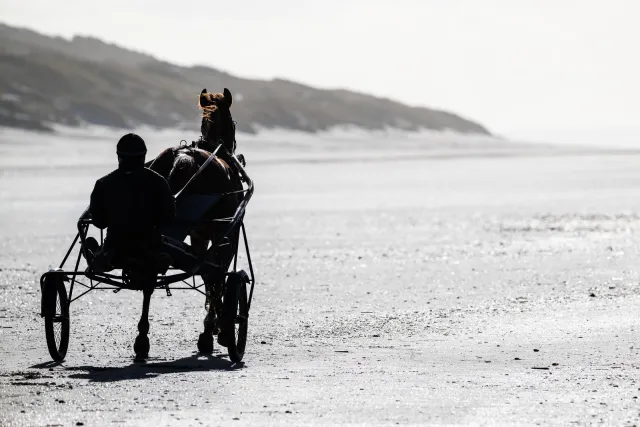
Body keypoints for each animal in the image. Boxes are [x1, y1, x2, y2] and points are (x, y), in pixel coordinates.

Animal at [134, 87, 244, 358]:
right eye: (233, 123)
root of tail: (183, 157)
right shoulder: (226, 231)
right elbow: (217, 274)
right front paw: (215, 329)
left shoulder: (198, 234)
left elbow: (209, 275)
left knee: (150, 273)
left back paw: (142, 338)